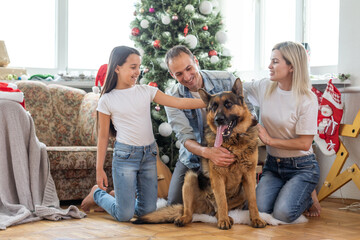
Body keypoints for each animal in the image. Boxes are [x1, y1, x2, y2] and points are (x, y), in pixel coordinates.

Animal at [134, 78, 266, 229]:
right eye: (214, 107)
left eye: (228, 104)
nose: (218, 119)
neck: (233, 142)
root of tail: (207, 208)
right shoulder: (218, 177)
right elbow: (222, 200)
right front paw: (224, 221)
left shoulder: (250, 176)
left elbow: (253, 201)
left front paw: (256, 219)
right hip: (190, 178)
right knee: (191, 211)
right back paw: (189, 218)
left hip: (242, 190)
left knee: (217, 211)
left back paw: (225, 217)